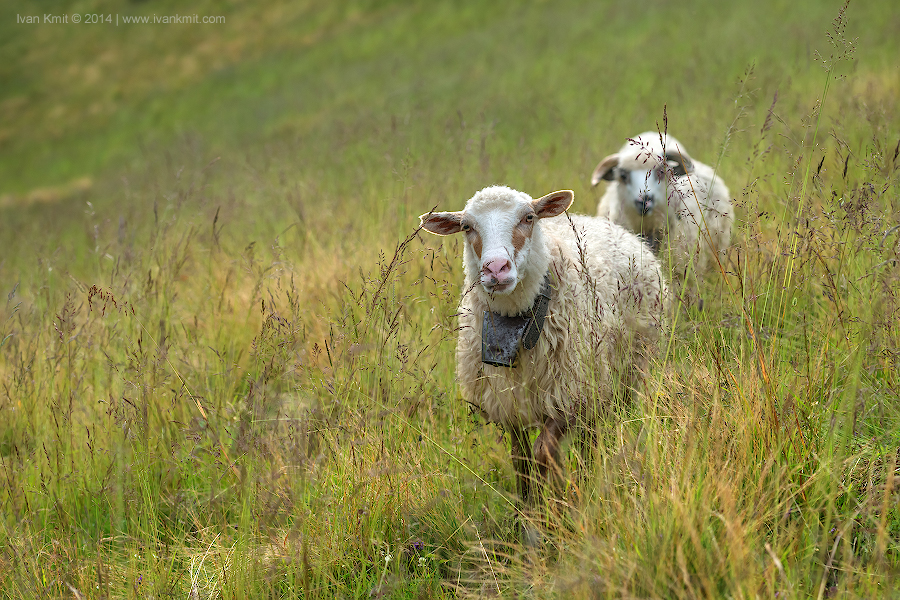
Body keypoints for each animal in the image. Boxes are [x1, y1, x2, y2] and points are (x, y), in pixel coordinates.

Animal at [419, 186, 668, 505]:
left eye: (528, 217)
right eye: (466, 227)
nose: (496, 269)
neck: (516, 320)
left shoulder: (569, 394)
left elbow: (542, 453)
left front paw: (553, 503)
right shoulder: (508, 403)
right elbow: (521, 459)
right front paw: (528, 507)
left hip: (628, 370)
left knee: (599, 433)